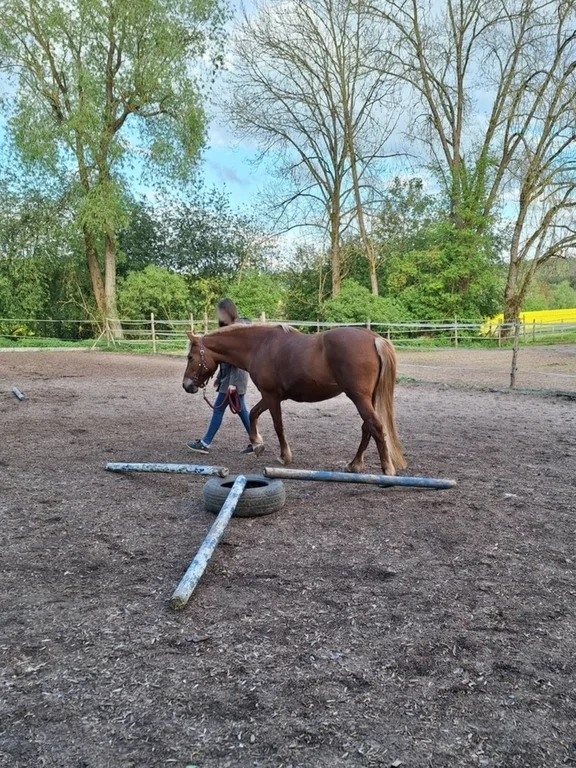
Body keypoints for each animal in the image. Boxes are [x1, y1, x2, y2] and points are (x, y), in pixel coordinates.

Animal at [182, 323, 406, 475]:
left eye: (190, 357)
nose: (187, 385)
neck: (259, 346)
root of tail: (374, 338)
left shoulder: (271, 396)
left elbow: (278, 425)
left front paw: (284, 457)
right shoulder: (270, 396)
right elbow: (253, 413)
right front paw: (257, 444)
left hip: (359, 398)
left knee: (375, 427)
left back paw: (387, 470)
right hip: (368, 398)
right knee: (367, 428)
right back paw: (355, 464)